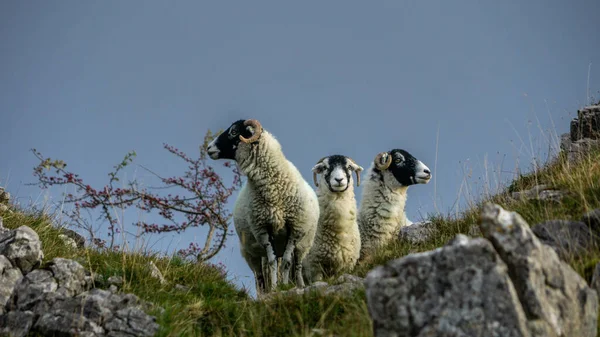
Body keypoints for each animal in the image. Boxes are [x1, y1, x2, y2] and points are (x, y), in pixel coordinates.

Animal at [206, 119, 318, 292]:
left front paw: (285, 286)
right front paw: (275, 289)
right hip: (251, 253)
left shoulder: (294, 229)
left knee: (297, 266)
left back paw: (299, 285)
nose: (209, 148)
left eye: (234, 131)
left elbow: (287, 263)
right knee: (259, 276)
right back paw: (264, 293)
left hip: (303, 245)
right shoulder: (264, 229)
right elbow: (272, 262)